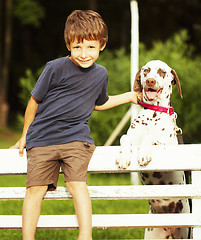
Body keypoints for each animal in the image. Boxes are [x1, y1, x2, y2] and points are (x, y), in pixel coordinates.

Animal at [116, 59, 190, 238]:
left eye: (162, 71)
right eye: (146, 70)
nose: (150, 81)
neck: (153, 114)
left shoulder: (167, 145)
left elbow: (150, 138)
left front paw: (143, 154)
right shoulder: (129, 137)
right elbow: (124, 138)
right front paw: (123, 157)